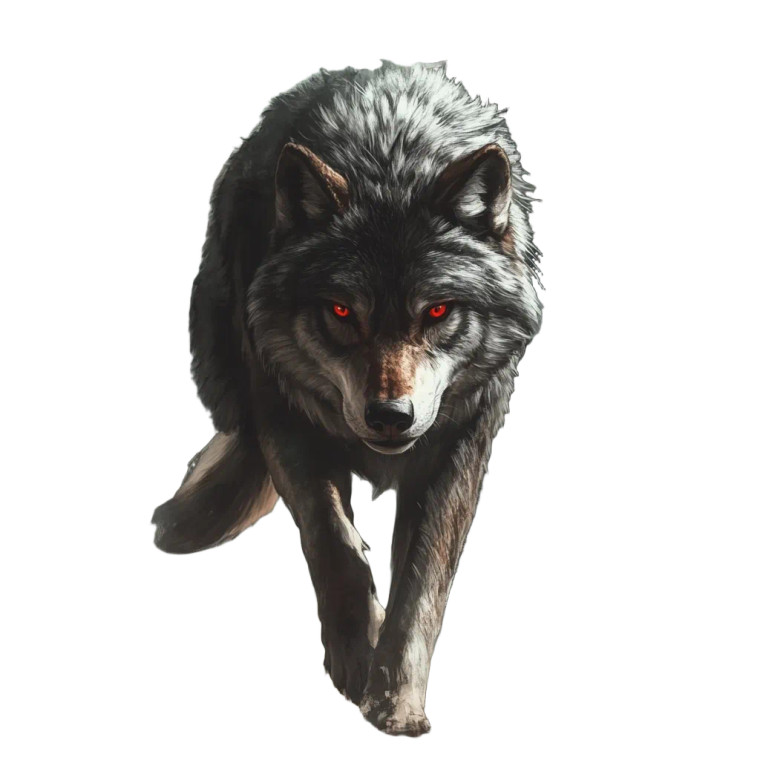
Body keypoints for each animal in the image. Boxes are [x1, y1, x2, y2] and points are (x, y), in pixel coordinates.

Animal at [152, 60, 543, 736]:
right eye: (341, 312)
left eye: (437, 311)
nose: (389, 416)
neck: (391, 161)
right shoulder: (284, 414)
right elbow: (331, 539)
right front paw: (356, 657)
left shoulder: (461, 441)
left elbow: (423, 581)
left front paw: (396, 703)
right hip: (223, 355)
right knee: (234, 435)